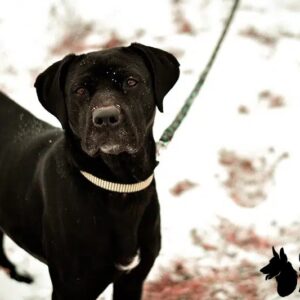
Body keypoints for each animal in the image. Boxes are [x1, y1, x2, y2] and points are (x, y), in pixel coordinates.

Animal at [0, 42, 178, 300]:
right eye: (80, 90)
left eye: (131, 81)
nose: (105, 117)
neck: (118, 186)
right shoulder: (71, 289)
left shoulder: (133, 278)